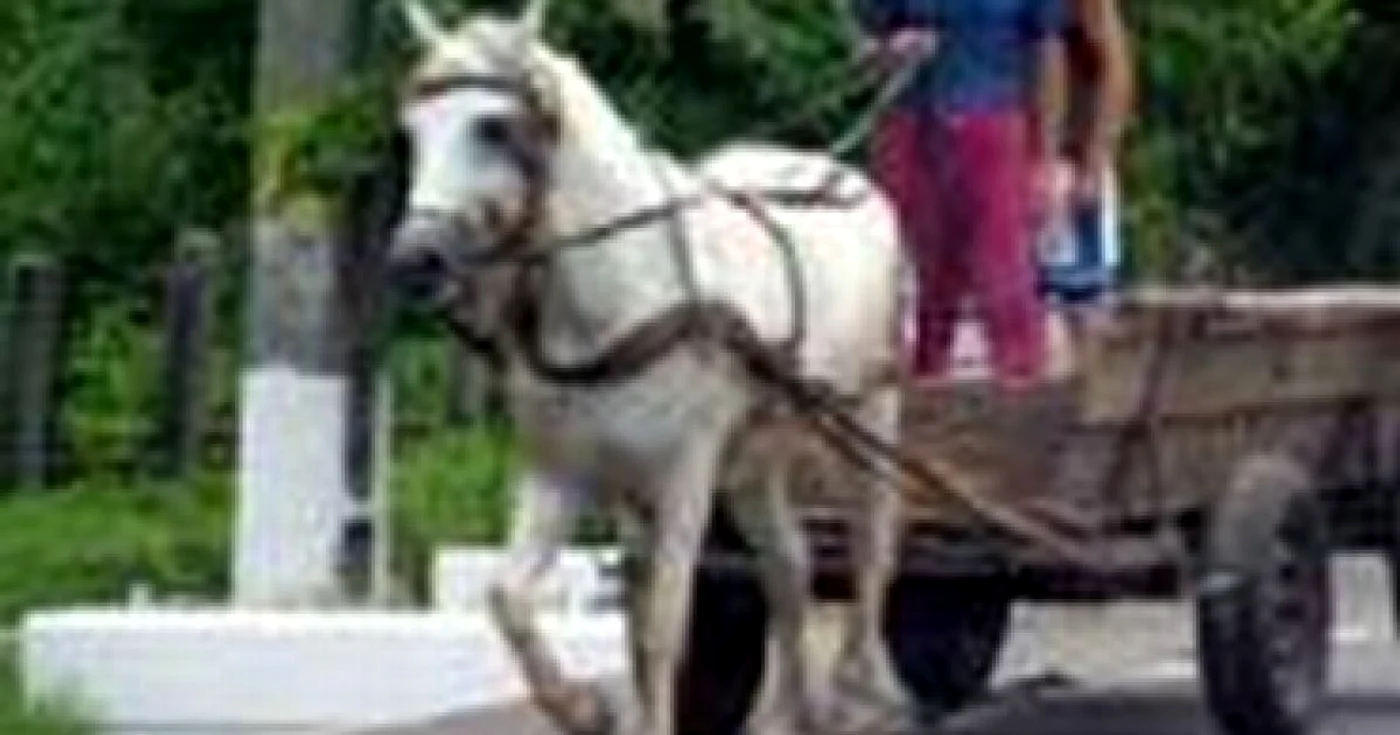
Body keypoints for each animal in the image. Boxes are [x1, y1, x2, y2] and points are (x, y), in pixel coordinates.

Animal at [387, 2, 914, 733]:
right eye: (410, 132)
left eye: (493, 126)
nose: (414, 261)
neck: (620, 296)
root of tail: (842, 177)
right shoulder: (565, 475)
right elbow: (512, 598)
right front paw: (582, 708)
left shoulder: (683, 476)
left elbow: (663, 625)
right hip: (755, 458)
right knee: (790, 564)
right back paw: (789, 709)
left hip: (868, 416)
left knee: (873, 546)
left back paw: (865, 686)